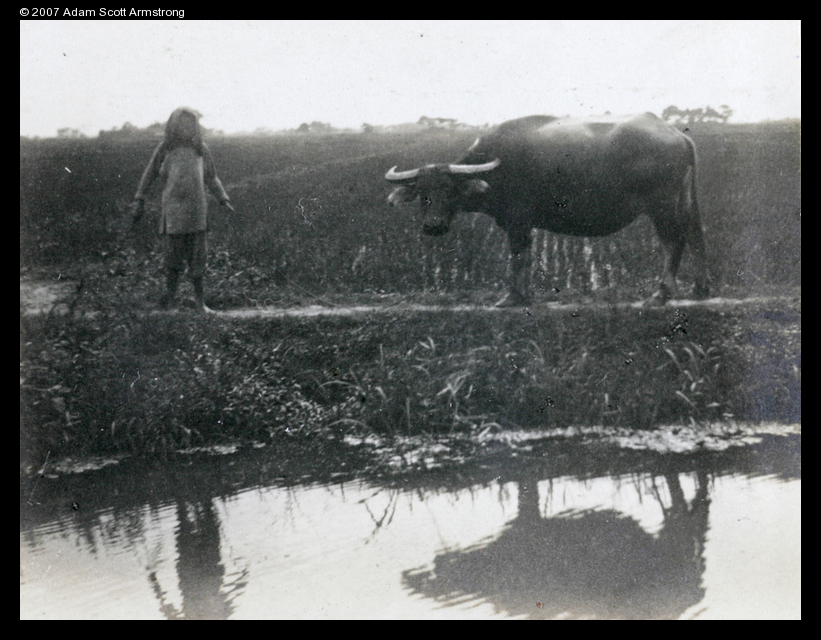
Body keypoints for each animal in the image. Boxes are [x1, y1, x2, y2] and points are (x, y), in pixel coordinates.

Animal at [385, 113, 709, 306]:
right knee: (696, 236)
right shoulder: (524, 224)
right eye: (423, 193)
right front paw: (525, 295)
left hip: (662, 205)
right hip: (685, 201)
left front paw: (512, 297)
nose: (433, 226)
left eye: (449, 190)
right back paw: (700, 289)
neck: (495, 168)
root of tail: (677, 135)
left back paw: (661, 293)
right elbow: (526, 257)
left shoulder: (517, 221)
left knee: (673, 241)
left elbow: (517, 257)